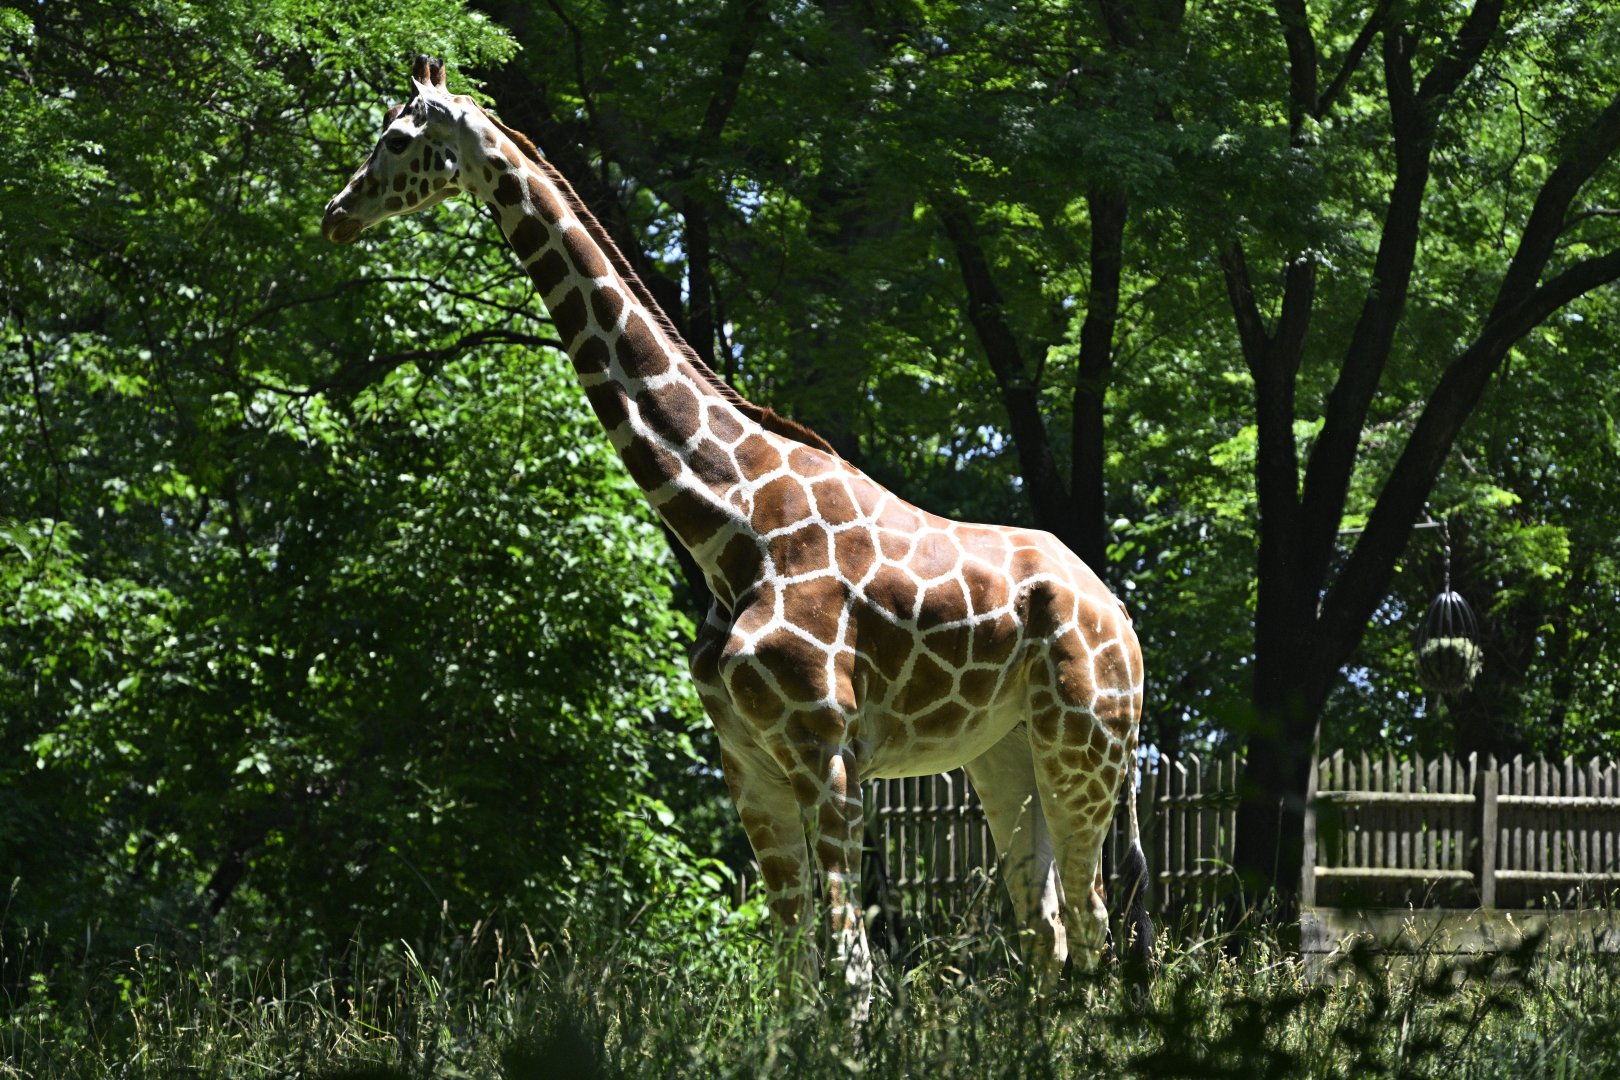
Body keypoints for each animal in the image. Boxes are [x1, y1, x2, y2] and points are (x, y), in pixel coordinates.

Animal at [322, 56, 1154, 1005]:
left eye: (396, 139)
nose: (336, 213)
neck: (729, 527)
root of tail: (1122, 614)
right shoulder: (747, 766)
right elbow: (793, 970)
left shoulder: (826, 751)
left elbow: (854, 973)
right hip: (1002, 753)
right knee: (1044, 923)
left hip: (1085, 743)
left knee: (1092, 917)